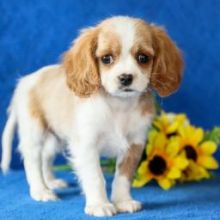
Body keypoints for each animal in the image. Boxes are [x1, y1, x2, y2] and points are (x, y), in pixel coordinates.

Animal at [0, 16, 183, 217]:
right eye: (106, 58)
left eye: (143, 58)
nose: (126, 77)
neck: (119, 105)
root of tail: (24, 82)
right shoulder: (86, 145)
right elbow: (95, 177)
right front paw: (99, 204)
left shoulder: (134, 144)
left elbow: (123, 177)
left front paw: (123, 201)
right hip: (34, 133)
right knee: (32, 162)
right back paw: (41, 191)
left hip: (55, 138)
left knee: (46, 157)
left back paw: (51, 182)